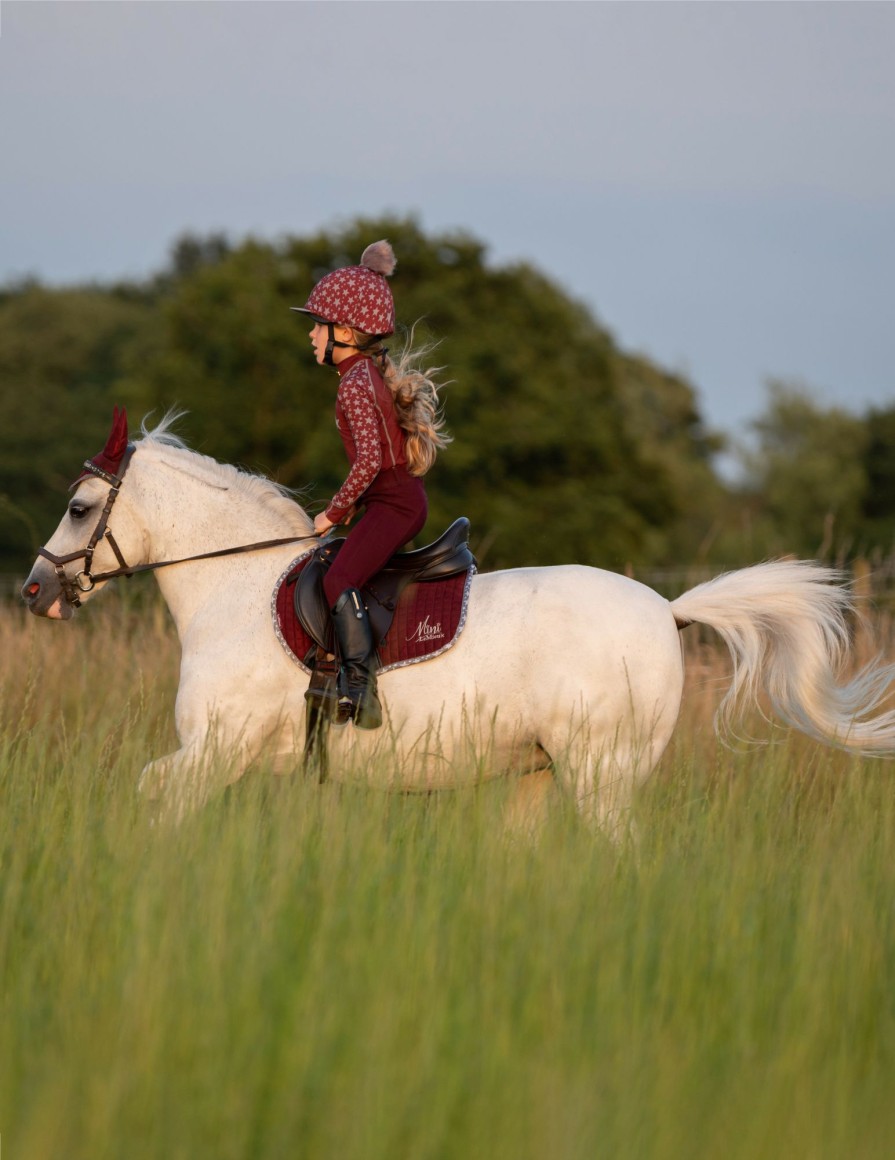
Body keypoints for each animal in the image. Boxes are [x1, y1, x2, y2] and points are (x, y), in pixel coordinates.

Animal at [22, 412, 895, 830]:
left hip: (600, 778)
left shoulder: (212, 753)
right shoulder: (225, 760)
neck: (233, 585)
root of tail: (668, 610)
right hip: (543, 776)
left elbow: (151, 798)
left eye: (79, 508)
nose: (34, 591)